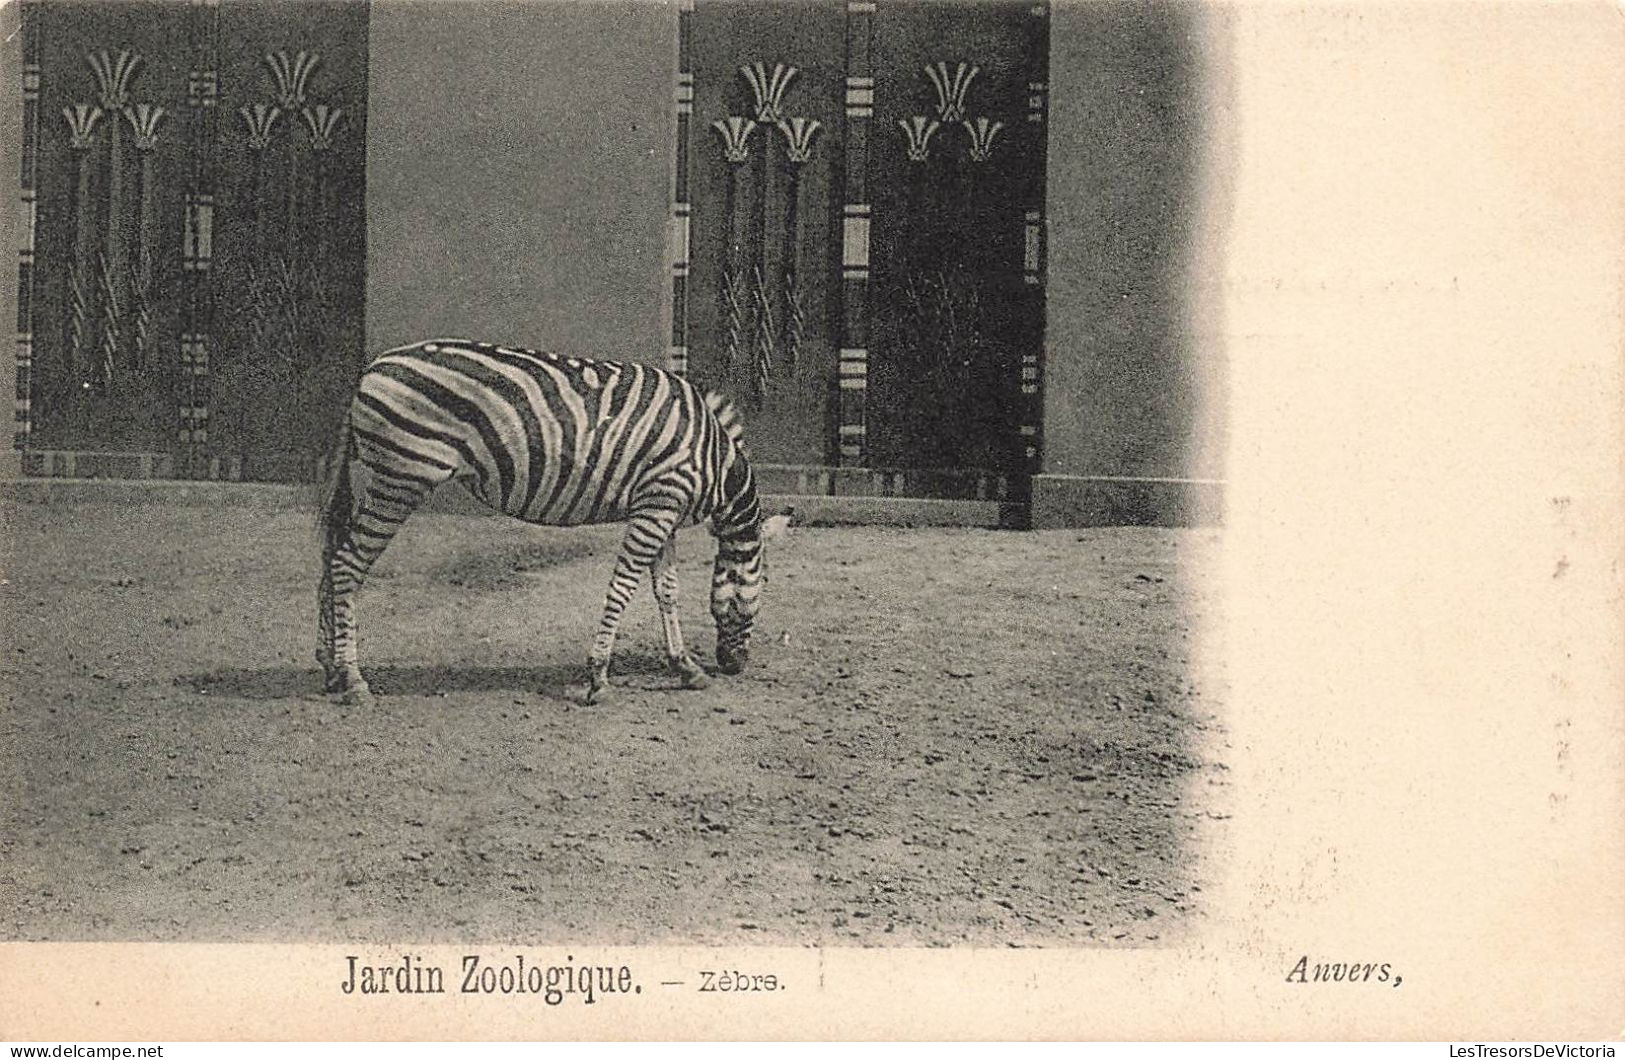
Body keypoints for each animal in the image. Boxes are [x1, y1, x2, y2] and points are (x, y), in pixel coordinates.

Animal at [318, 339, 780, 702]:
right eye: (761, 584)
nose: (734, 665)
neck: (715, 458)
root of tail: (369, 370)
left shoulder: (664, 507)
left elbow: (666, 592)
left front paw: (685, 667)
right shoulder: (658, 505)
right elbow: (623, 588)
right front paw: (597, 677)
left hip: (384, 482)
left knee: (331, 563)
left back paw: (331, 667)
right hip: (400, 480)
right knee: (346, 567)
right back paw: (354, 680)